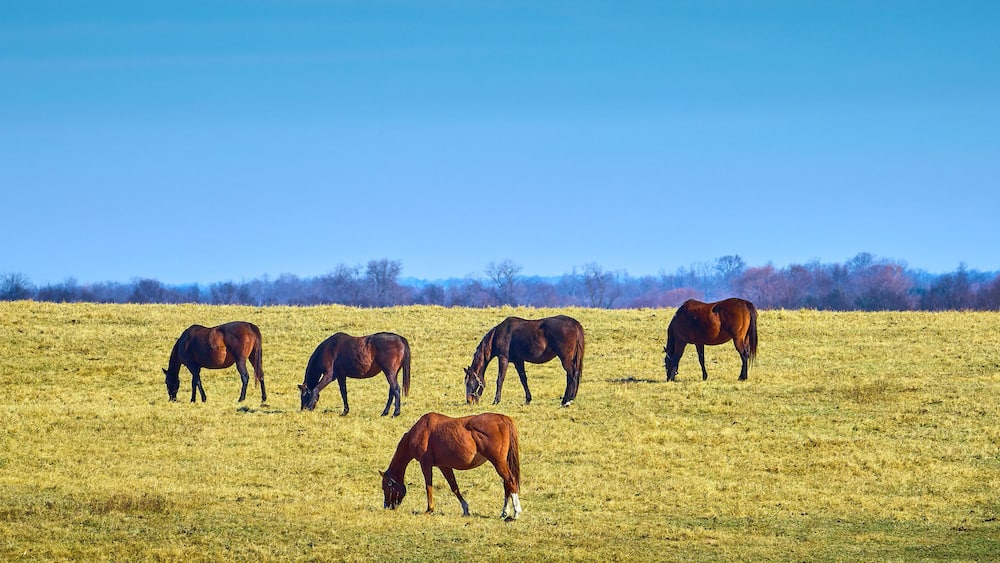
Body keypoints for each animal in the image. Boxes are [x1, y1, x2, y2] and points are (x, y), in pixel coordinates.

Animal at [380, 412, 522, 521]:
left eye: (386, 486)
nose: (387, 506)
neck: (420, 431)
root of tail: (502, 418)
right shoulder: (444, 466)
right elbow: (454, 487)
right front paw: (465, 508)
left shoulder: (425, 463)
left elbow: (428, 486)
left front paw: (429, 509)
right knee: (507, 484)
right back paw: (504, 512)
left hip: (498, 461)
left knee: (510, 480)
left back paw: (516, 512)